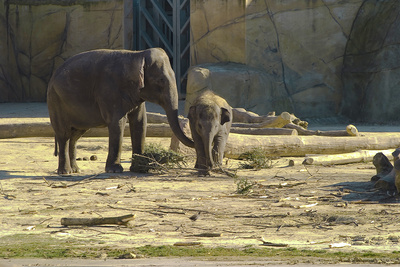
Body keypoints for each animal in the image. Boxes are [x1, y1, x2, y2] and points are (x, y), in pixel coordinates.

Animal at [47, 47, 195, 176]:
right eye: (161, 80)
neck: (137, 55)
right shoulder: (109, 90)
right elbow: (117, 123)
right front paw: (115, 170)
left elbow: (140, 122)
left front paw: (140, 167)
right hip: (56, 101)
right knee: (64, 134)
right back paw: (65, 172)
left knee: (75, 135)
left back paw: (75, 170)